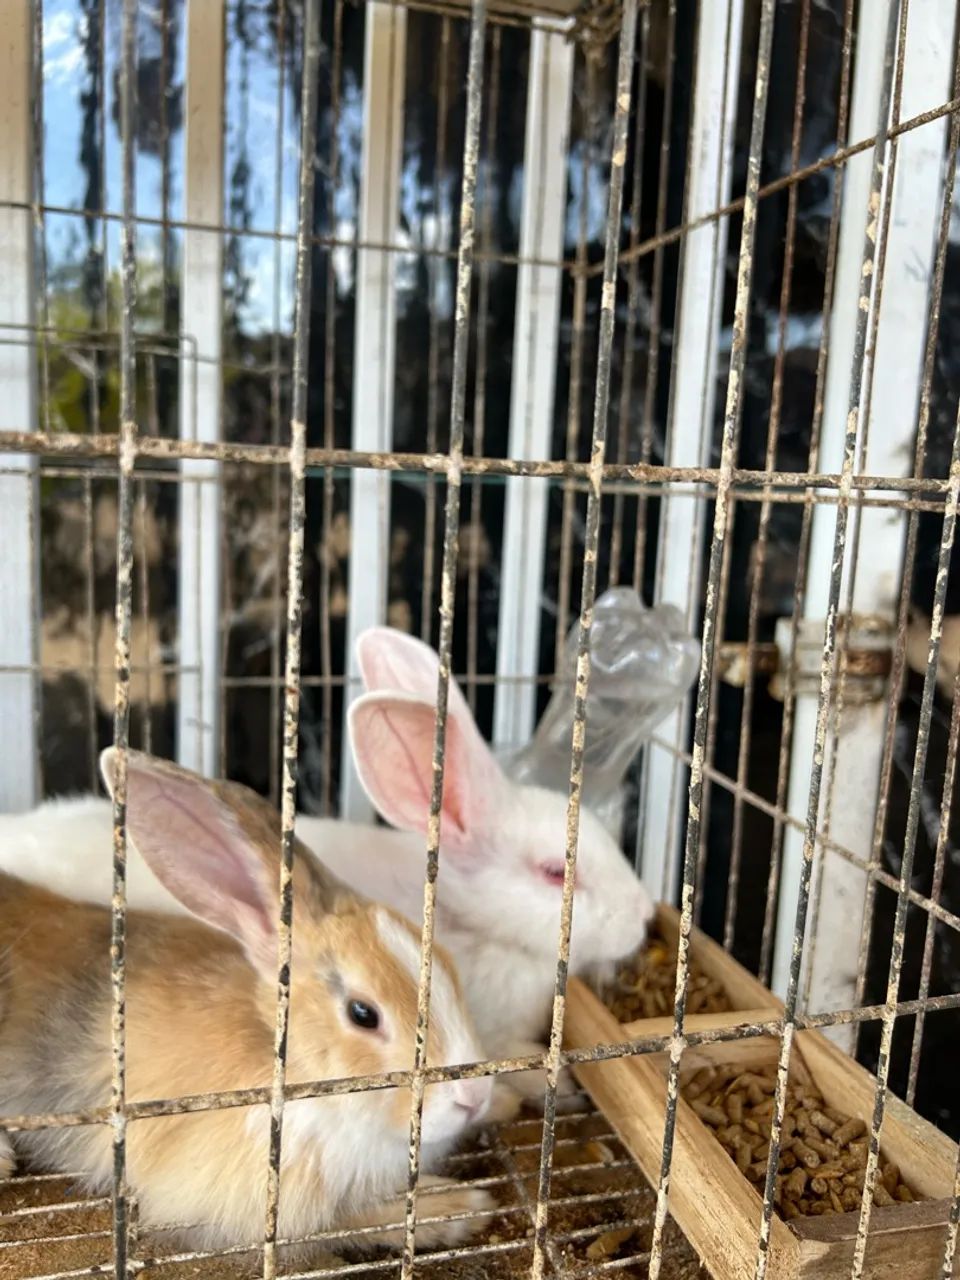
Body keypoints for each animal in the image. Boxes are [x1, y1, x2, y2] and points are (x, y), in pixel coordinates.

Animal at [0, 749, 495, 1263]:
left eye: (449, 965)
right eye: (363, 1014)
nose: (476, 1097)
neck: (290, 1070)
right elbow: (351, 1217)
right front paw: (464, 1207)